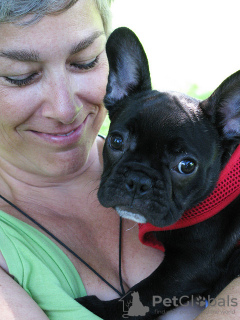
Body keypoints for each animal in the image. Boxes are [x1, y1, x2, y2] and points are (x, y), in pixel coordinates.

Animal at [77, 28, 240, 320]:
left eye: (186, 165)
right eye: (116, 141)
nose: (137, 181)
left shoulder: (190, 265)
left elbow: (139, 296)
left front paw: (95, 307)